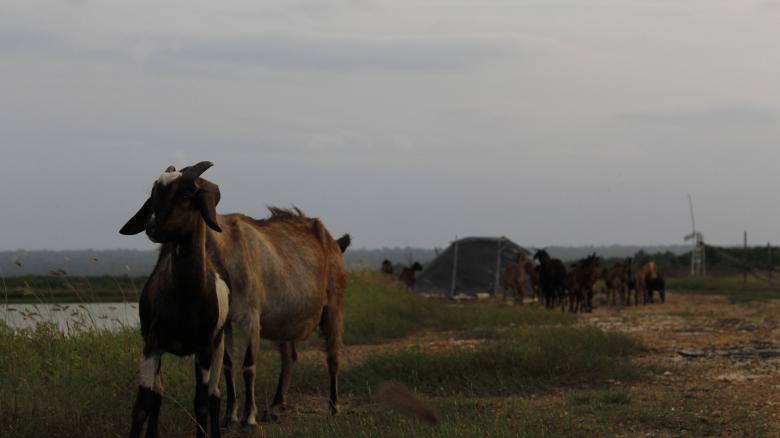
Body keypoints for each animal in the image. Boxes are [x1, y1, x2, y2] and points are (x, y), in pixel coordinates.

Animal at [120, 162, 350, 436]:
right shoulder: (225, 323)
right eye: (153, 195)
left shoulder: (250, 317)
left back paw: (334, 405)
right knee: (289, 357)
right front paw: (230, 415)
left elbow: (248, 366)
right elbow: (228, 367)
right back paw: (276, 405)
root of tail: (333, 241)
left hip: (334, 304)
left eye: (187, 195)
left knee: (333, 354)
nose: (152, 227)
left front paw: (248, 418)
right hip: (285, 322)